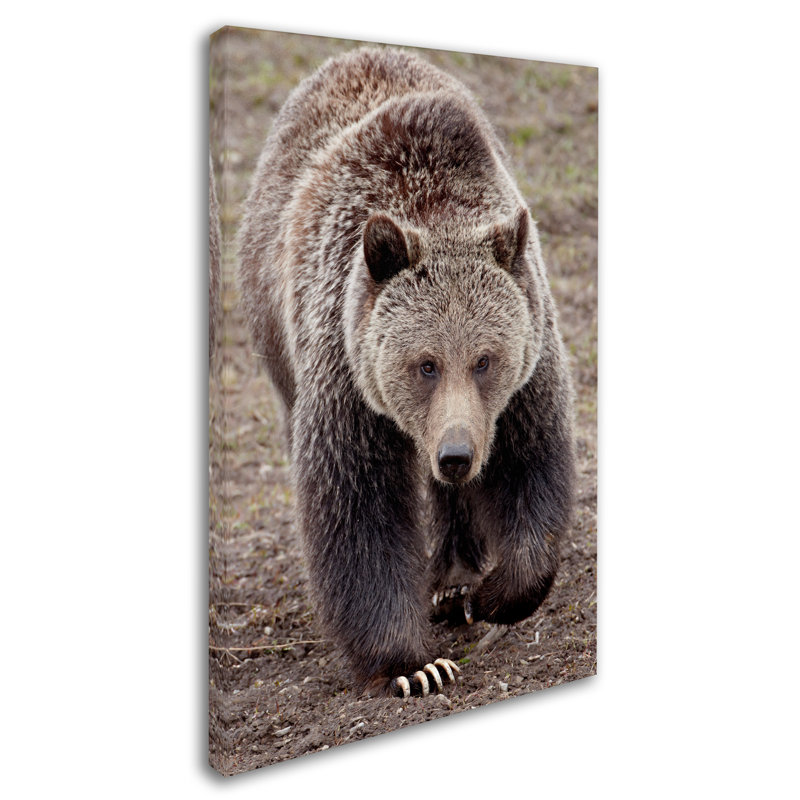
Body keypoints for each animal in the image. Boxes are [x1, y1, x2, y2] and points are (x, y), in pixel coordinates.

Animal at [238, 47, 575, 697]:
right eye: (425, 364)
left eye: (484, 359)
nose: (456, 454)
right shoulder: (346, 373)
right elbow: (356, 511)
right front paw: (414, 665)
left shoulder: (524, 375)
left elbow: (532, 467)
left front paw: (488, 594)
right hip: (276, 333)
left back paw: (453, 577)